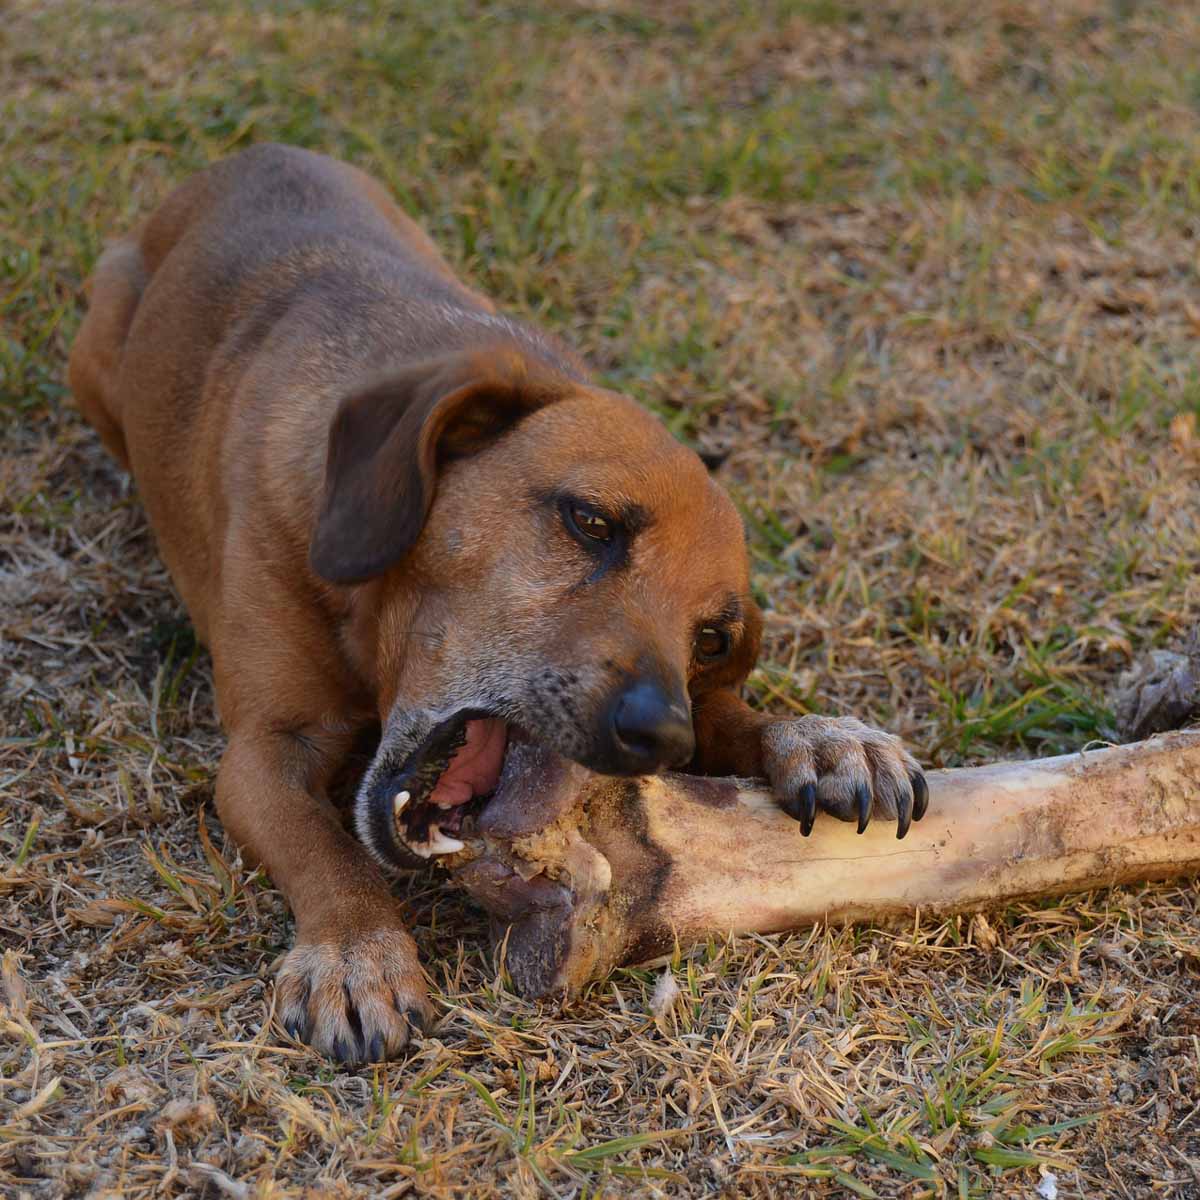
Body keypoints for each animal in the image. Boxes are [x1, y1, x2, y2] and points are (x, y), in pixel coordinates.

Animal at [68, 145, 926, 1065]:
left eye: (710, 638)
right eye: (592, 522)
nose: (665, 737)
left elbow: (737, 717)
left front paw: (821, 738)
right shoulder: (263, 751)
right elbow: (326, 849)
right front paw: (356, 953)